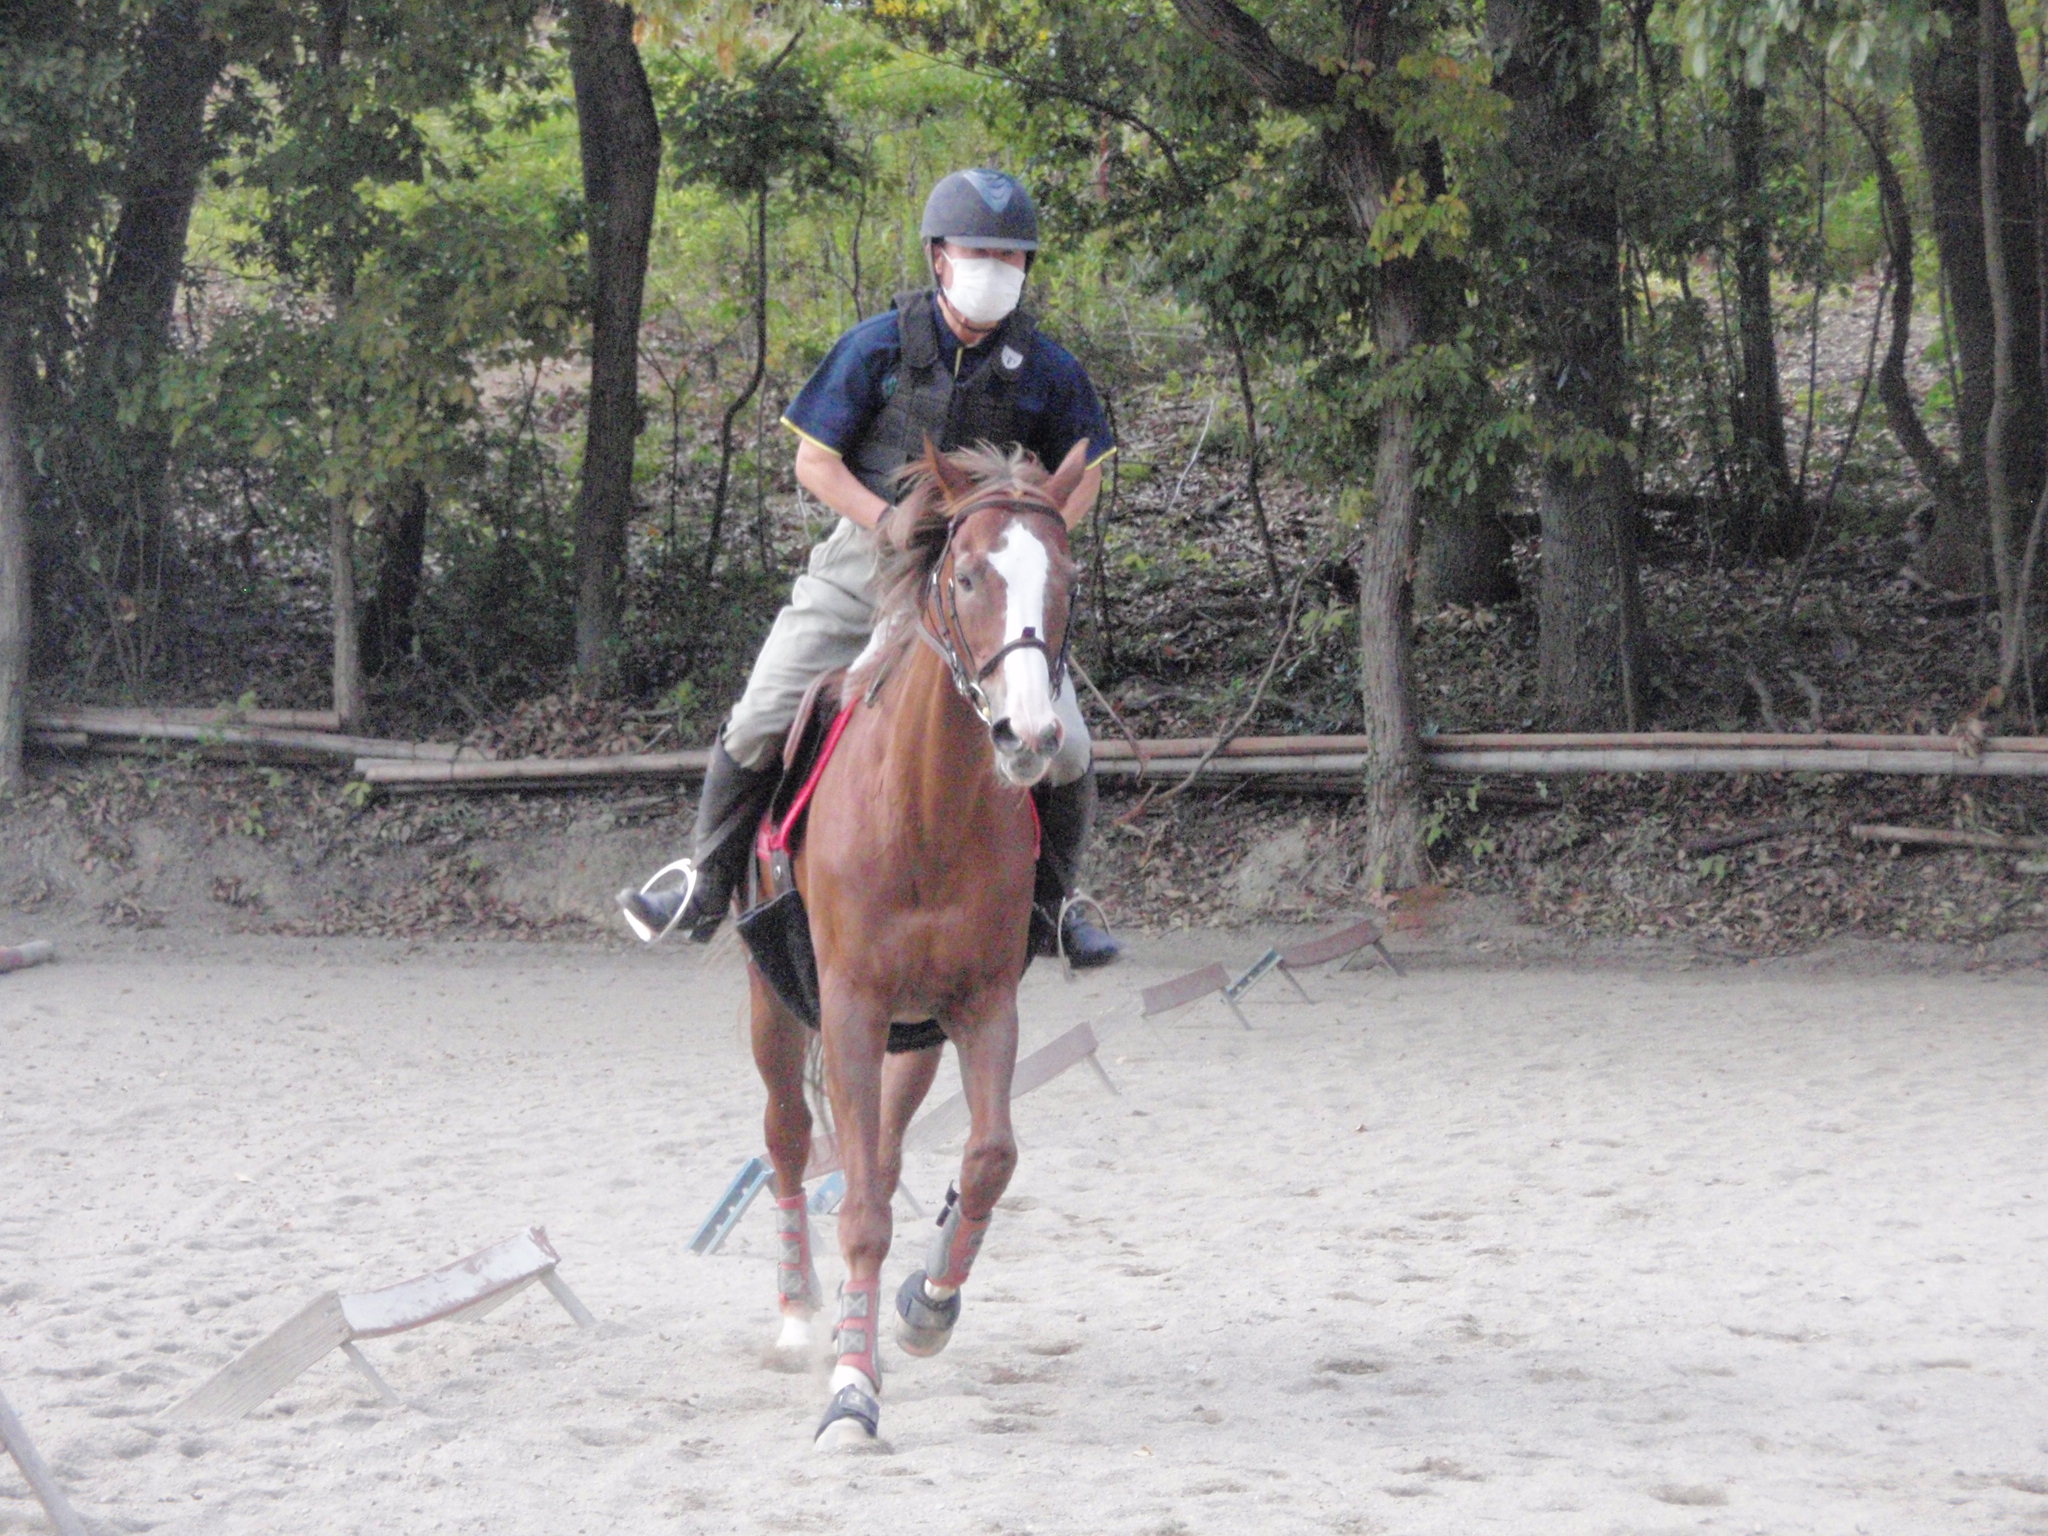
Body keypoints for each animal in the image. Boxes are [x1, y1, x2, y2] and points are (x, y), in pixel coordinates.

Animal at [744, 437, 1092, 1449]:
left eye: (1067, 578)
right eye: (969, 574)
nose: (1029, 733)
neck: (925, 811)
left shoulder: (979, 1007)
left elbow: (988, 1161)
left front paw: (925, 1306)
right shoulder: (850, 1007)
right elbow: (859, 1207)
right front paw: (851, 1392)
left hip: (915, 1037)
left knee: (888, 1150)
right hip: (777, 1004)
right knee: (787, 1138)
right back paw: (797, 1313)